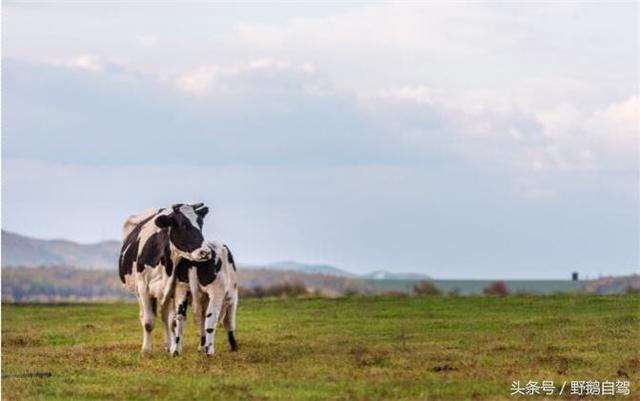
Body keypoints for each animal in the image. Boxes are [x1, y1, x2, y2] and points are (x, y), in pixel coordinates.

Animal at [119, 203, 211, 354]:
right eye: (183, 224)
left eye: (201, 223)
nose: (205, 252)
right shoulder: (143, 287)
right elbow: (148, 321)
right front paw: (146, 350)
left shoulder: (178, 287)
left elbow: (174, 321)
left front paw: (175, 347)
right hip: (138, 292)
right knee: (146, 315)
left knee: (166, 317)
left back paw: (169, 345)